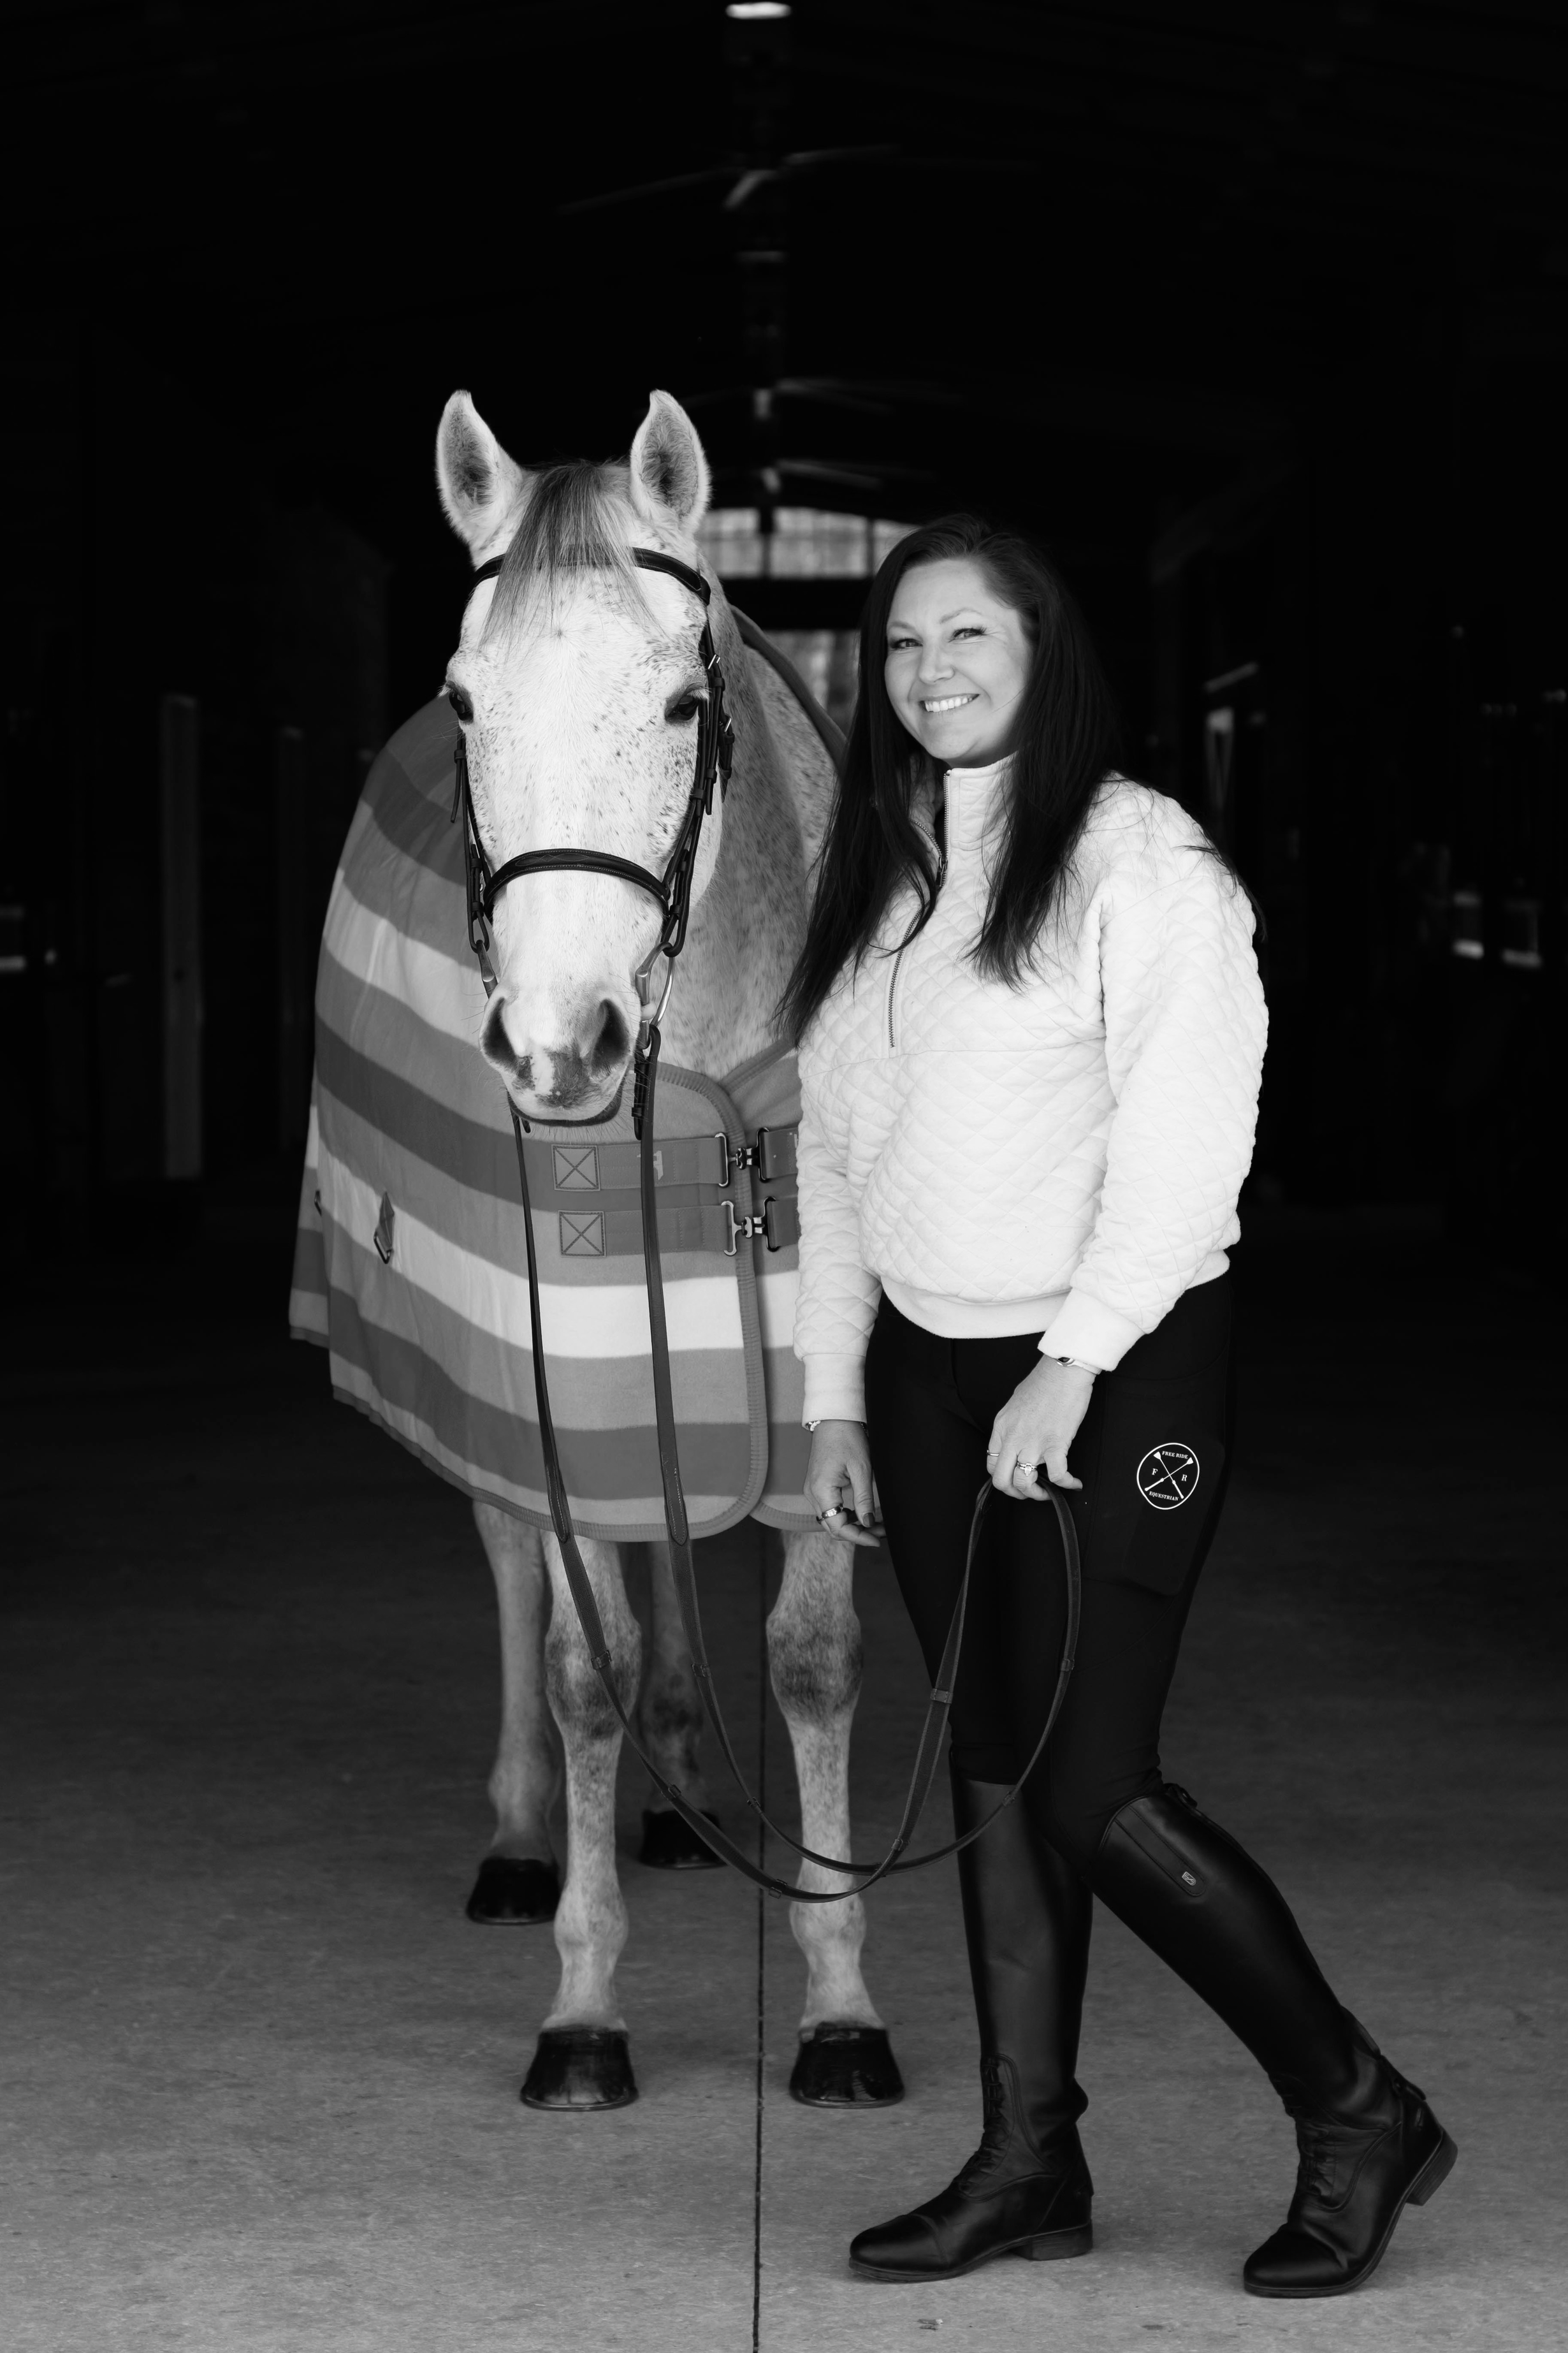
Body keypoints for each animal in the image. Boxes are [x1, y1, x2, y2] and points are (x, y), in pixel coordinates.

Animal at [394, 387, 896, 2110]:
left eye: (683, 702)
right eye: (464, 702)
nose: (560, 1048)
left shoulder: (815, 1387)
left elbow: (812, 1661)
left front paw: (838, 2005)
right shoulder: (562, 1377)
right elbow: (574, 1660)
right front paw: (584, 2005)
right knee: (501, 1561)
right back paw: (519, 1835)